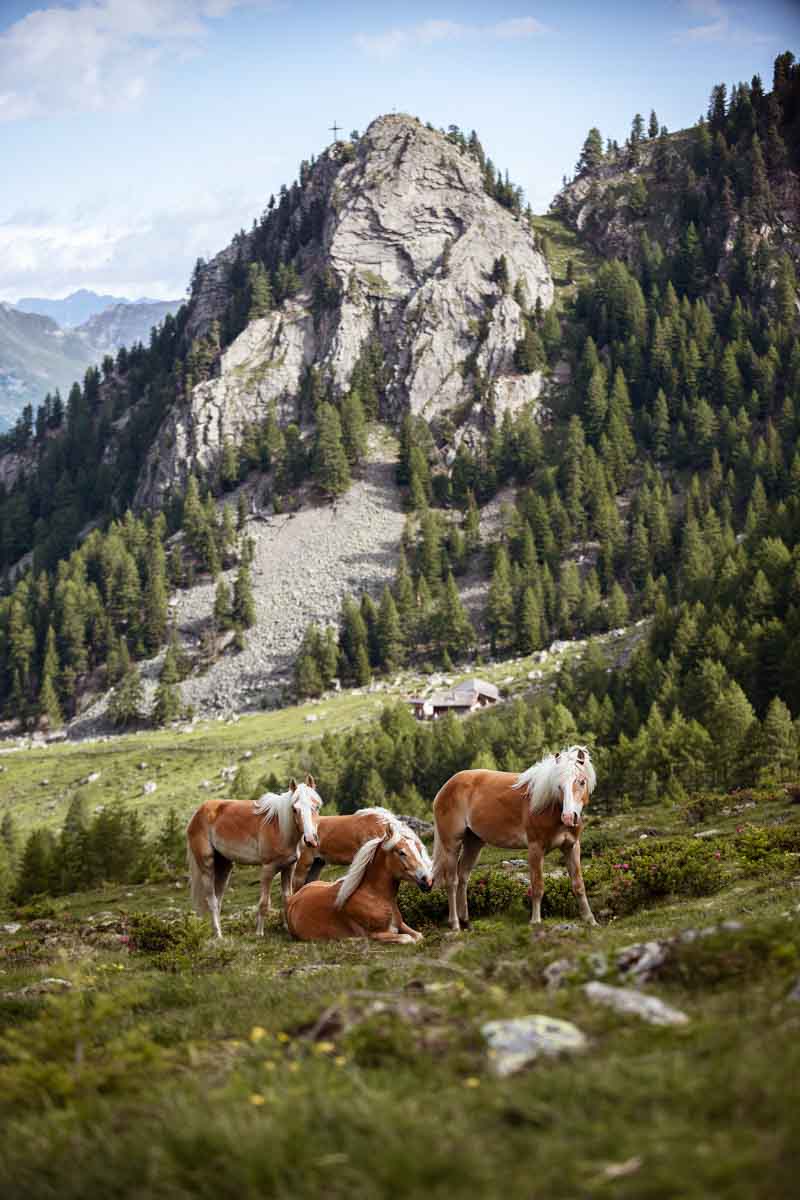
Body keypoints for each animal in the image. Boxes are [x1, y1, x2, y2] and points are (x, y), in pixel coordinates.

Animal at [187, 777, 321, 936]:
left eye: (316, 806)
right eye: (295, 809)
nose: (310, 840)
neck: (279, 827)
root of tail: (197, 813)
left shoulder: (289, 868)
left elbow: (287, 898)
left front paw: (287, 928)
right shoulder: (268, 869)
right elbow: (264, 903)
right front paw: (259, 933)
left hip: (224, 867)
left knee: (218, 900)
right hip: (206, 866)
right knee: (212, 901)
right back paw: (219, 936)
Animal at [287, 816, 434, 945]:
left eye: (418, 849)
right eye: (401, 852)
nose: (427, 880)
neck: (375, 896)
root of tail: (294, 899)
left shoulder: (401, 925)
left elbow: (418, 936)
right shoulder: (375, 934)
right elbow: (407, 938)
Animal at [434, 744, 597, 931]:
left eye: (582, 781)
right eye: (559, 786)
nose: (569, 817)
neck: (548, 806)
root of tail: (446, 787)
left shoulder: (571, 847)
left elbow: (578, 885)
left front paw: (590, 919)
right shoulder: (535, 848)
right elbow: (537, 886)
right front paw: (535, 921)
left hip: (473, 843)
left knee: (463, 876)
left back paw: (466, 921)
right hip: (451, 845)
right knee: (451, 881)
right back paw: (455, 924)